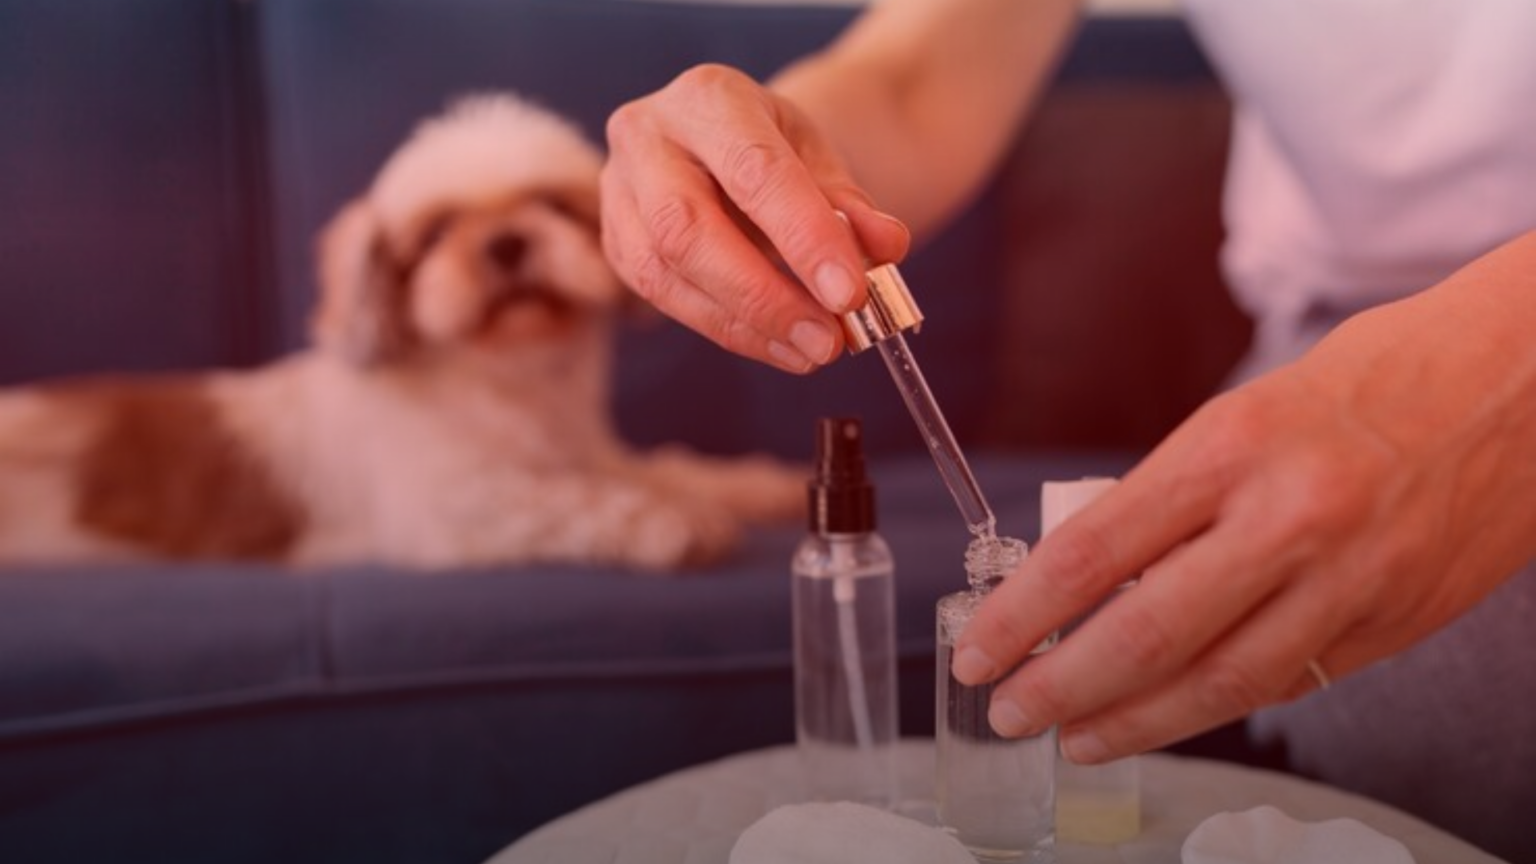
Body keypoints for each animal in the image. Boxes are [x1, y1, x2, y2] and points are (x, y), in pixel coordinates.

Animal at [0, 92, 811, 571]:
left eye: (552, 205)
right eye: (437, 234)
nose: (505, 242)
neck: (506, 385)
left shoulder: (588, 453)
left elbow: (662, 467)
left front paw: (750, 485)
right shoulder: (452, 512)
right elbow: (569, 501)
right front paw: (670, 522)